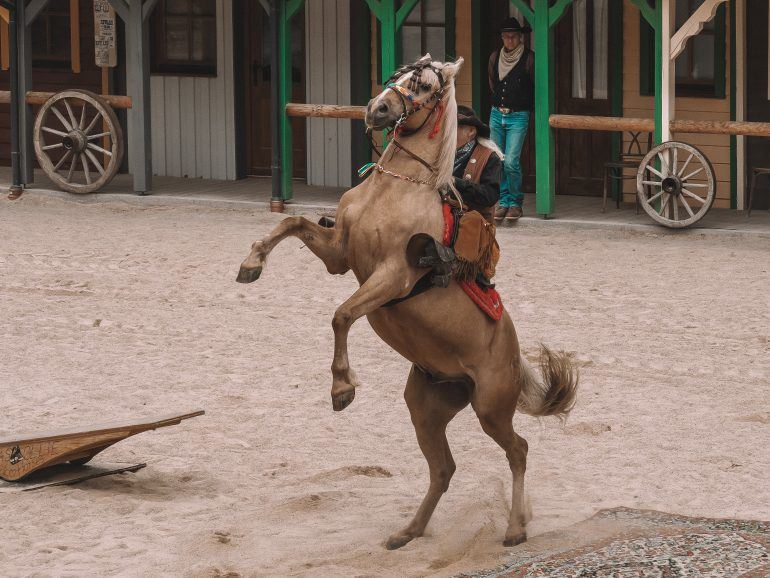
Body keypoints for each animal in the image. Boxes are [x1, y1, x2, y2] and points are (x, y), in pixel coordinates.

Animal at [236, 56, 576, 548]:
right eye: (398, 73)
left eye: (427, 86)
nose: (377, 109)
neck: (396, 189)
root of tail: (514, 354)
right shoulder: (340, 254)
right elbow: (292, 224)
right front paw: (252, 263)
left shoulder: (392, 276)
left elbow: (341, 315)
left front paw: (342, 388)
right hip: (428, 407)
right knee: (444, 468)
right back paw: (409, 531)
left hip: (491, 408)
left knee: (519, 450)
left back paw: (515, 527)